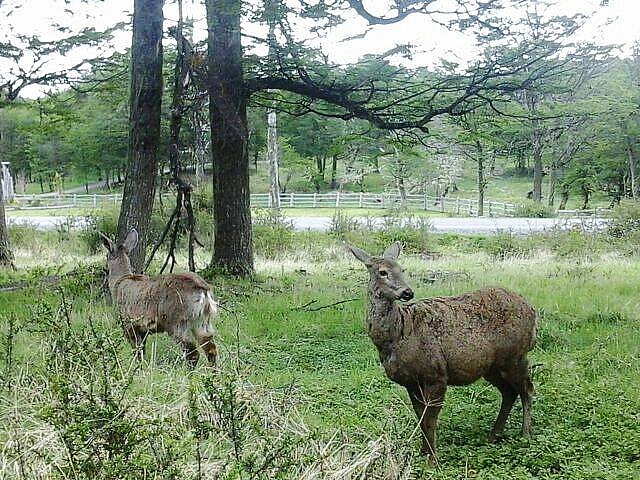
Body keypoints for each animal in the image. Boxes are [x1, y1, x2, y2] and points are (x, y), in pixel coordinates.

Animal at [100, 231, 219, 366]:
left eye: (106, 255)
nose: (105, 268)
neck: (118, 282)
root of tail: (204, 290)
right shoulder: (143, 329)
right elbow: (142, 351)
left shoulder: (128, 324)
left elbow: (137, 351)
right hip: (203, 321)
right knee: (211, 350)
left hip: (176, 321)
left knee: (192, 353)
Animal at [348, 242, 536, 464]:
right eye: (382, 272)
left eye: (402, 269)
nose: (407, 292)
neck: (399, 333)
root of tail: (532, 309)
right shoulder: (411, 381)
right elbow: (420, 416)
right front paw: (423, 452)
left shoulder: (436, 373)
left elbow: (430, 418)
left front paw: (432, 460)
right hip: (492, 366)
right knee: (509, 392)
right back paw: (494, 435)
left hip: (515, 356)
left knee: (527, 389)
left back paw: (525, 434)